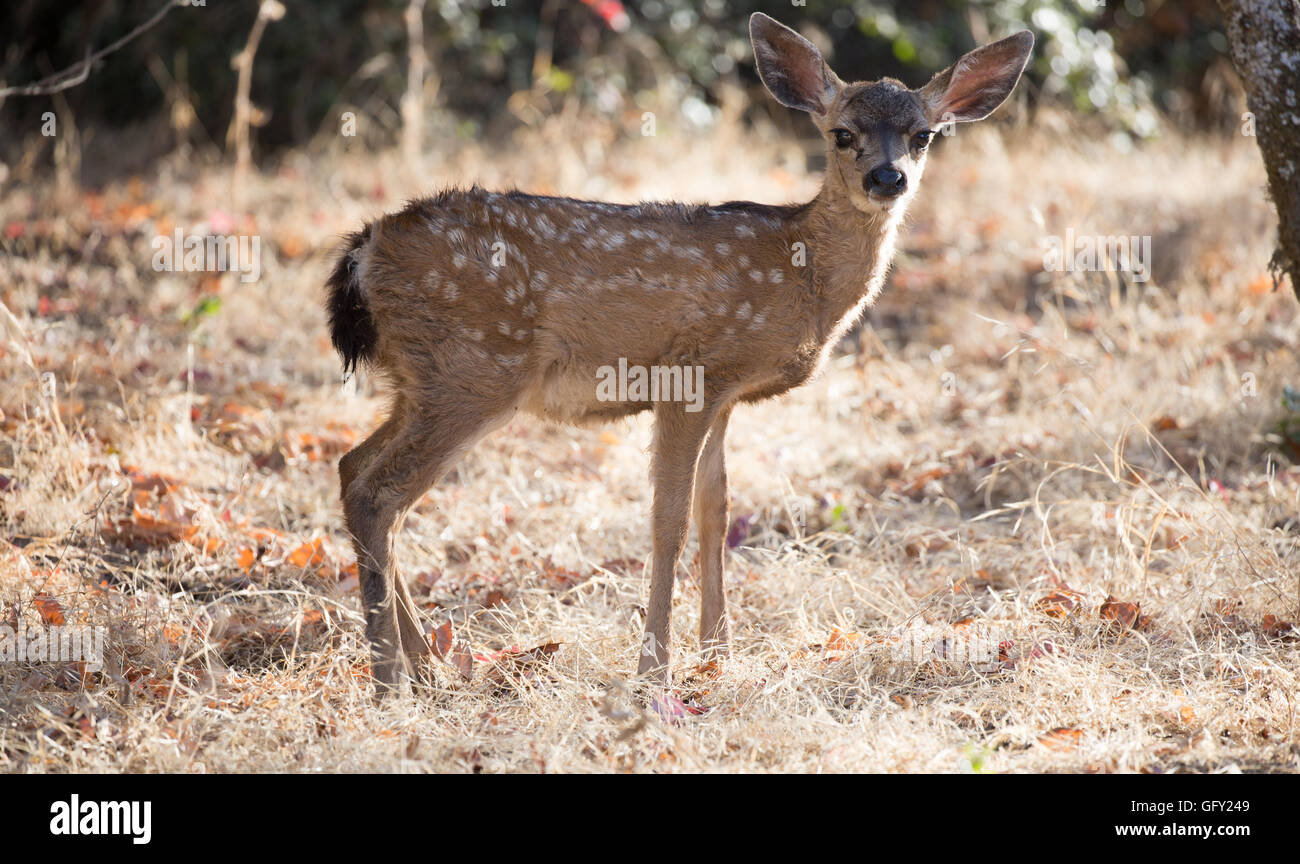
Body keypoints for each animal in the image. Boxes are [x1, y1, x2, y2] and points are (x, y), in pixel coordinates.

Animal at [327, 11, 1034, 696]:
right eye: (841, 133)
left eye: (923, 135)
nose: (887, 178)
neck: (802, 273)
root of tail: (364, 250)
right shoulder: (689, 376)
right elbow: (668, 521)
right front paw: (655, 668)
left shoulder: (725, 394)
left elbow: (716, 510)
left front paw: (719, 651)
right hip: (475, 368)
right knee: (382, 494)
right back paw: (391, 679)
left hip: (422, 380)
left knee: (353, 468)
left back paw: (430, 666)